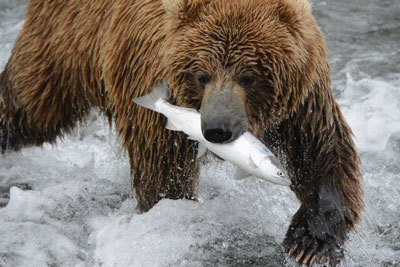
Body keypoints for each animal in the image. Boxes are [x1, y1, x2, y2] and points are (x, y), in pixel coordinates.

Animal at [0, 0, 362, 266]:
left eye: (249, 76)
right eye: (201, 75)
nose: (217, 130)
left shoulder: (303, 99)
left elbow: (322, 156)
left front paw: (310, 243)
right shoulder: (152, 89)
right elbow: (163, 177)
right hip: (64, 43)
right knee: (30, 103)